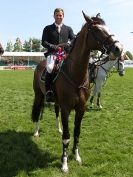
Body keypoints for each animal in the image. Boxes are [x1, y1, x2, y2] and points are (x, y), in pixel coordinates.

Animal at [31, 11, 123, 172]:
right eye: (97, 29)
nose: (118, 48)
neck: (75, 74)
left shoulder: (81, 108)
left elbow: (77, 132)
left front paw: (76, 155)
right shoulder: (66, 109)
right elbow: (67, 137)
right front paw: (64, 163)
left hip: (56, 101)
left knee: (55, 112)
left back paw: (59, 128)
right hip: (40, 95)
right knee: (40, 109)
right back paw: (36, 131)